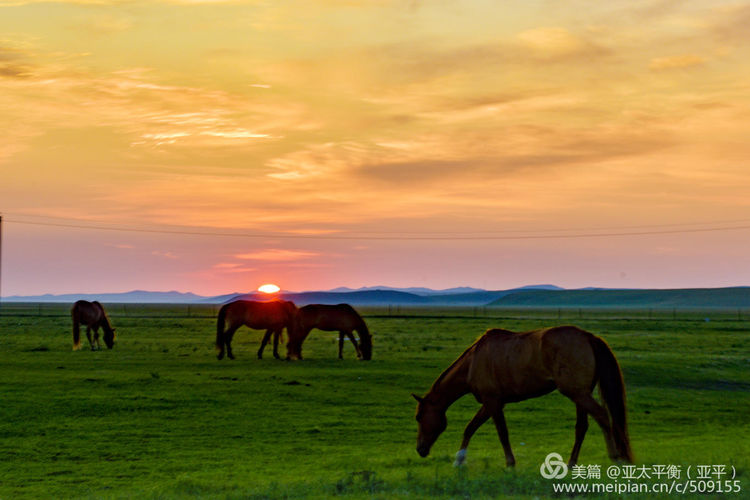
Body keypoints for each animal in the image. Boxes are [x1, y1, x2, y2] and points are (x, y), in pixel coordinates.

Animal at [412, 326, 636, 466]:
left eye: (419, 417)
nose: (420, 449)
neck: (472, 363)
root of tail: (588, 337)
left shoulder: (493, 403)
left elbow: (501, 433)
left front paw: (510, 463)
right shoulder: (491, 403)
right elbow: (470, 428)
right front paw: (459, 461)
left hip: (578, 393)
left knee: (602, 416)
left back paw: (615, 457)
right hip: (580, 394)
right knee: (582, 427)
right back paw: (571, 464)